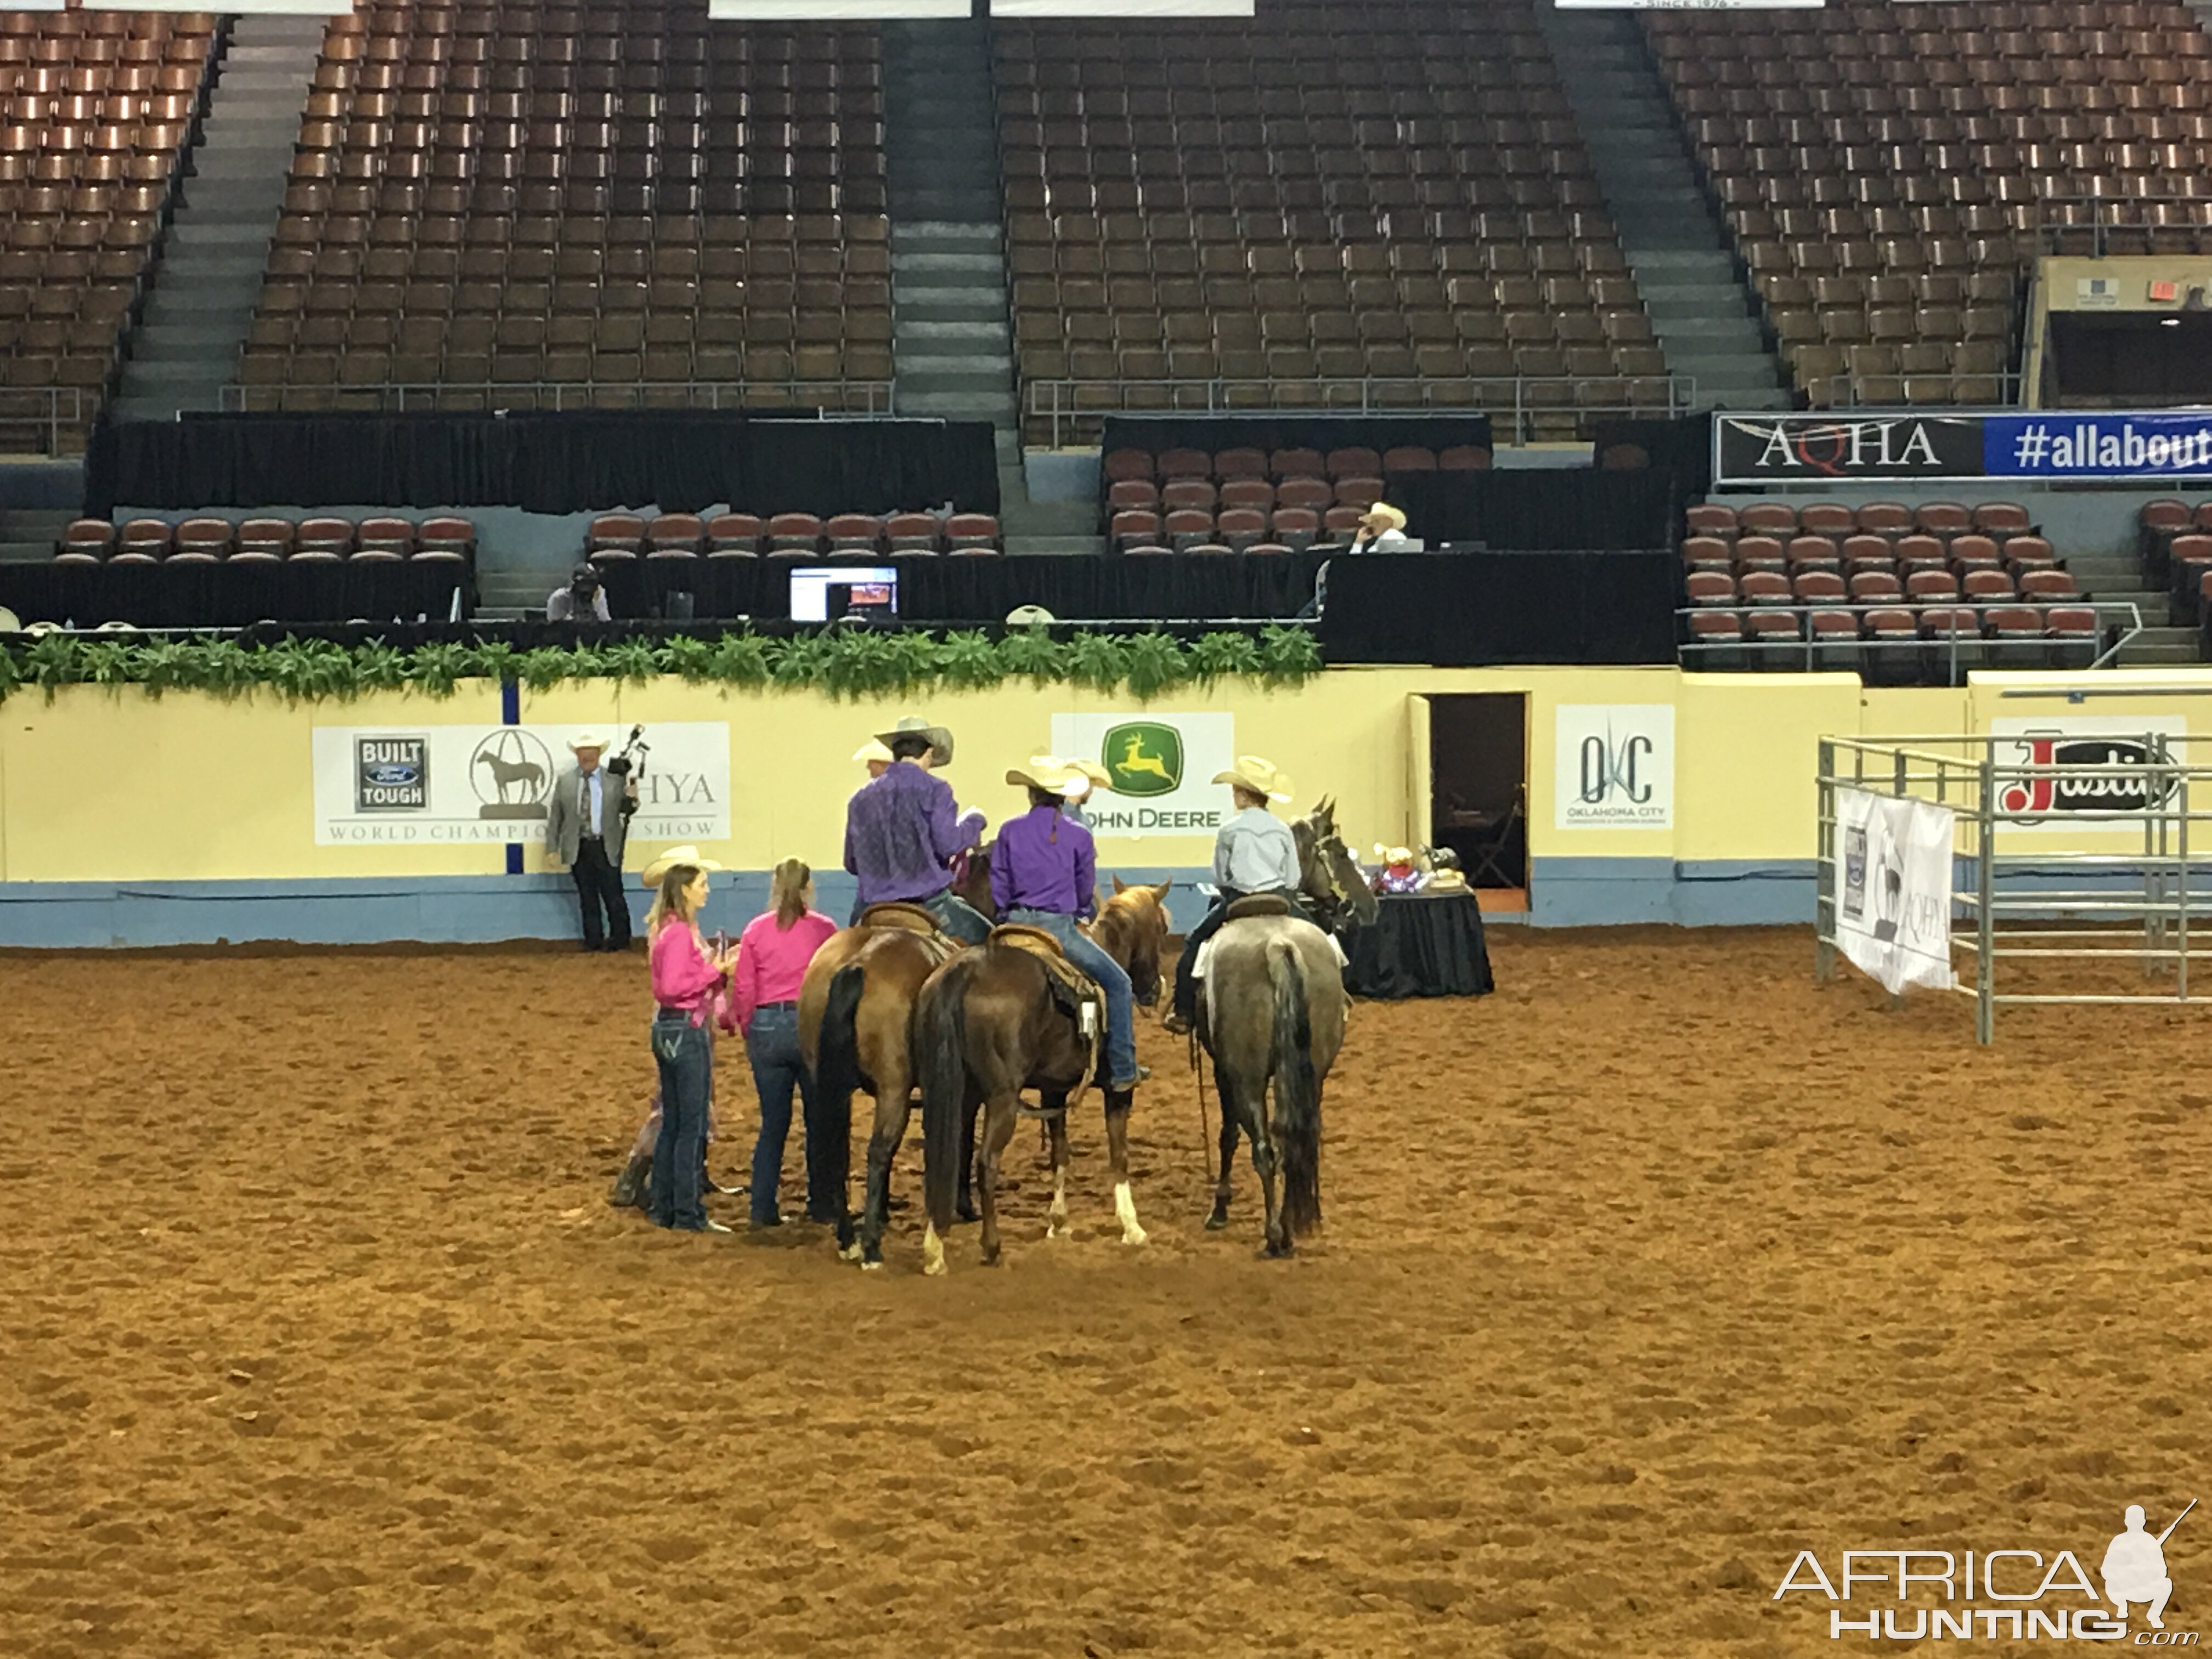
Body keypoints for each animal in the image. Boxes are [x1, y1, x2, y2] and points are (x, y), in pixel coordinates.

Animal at [800, 902, 964, 1265]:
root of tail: (859, 962)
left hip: (831, 1088)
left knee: (840, 1152)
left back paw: (849, 1239)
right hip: (894, 1090)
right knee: (878, 1151)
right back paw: (872, 1248)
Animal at [911, 938, 1150, 1274]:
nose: (1156, 988)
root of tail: (966, 970)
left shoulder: (1054, 1091)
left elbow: (1060, 1152)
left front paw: (1059, 1221)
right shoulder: (1117, 1093)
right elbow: (1120, 1156)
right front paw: (1132, 1227)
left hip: (952, 1091)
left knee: (942, 1158)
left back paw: (935, 1250)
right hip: (1003, 1098)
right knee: (986, 1163)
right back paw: (992, 1247)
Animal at [1194, 902, 1345, 1256]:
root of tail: (1278, 945)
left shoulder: (1224, 1071)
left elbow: (1228, 1135)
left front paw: (1220, 1209)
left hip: (1247, 1077)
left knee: (1264, 1149)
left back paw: (1275, 1235)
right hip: (1313, 1075)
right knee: (1296, 1141)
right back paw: (1294, 1226)